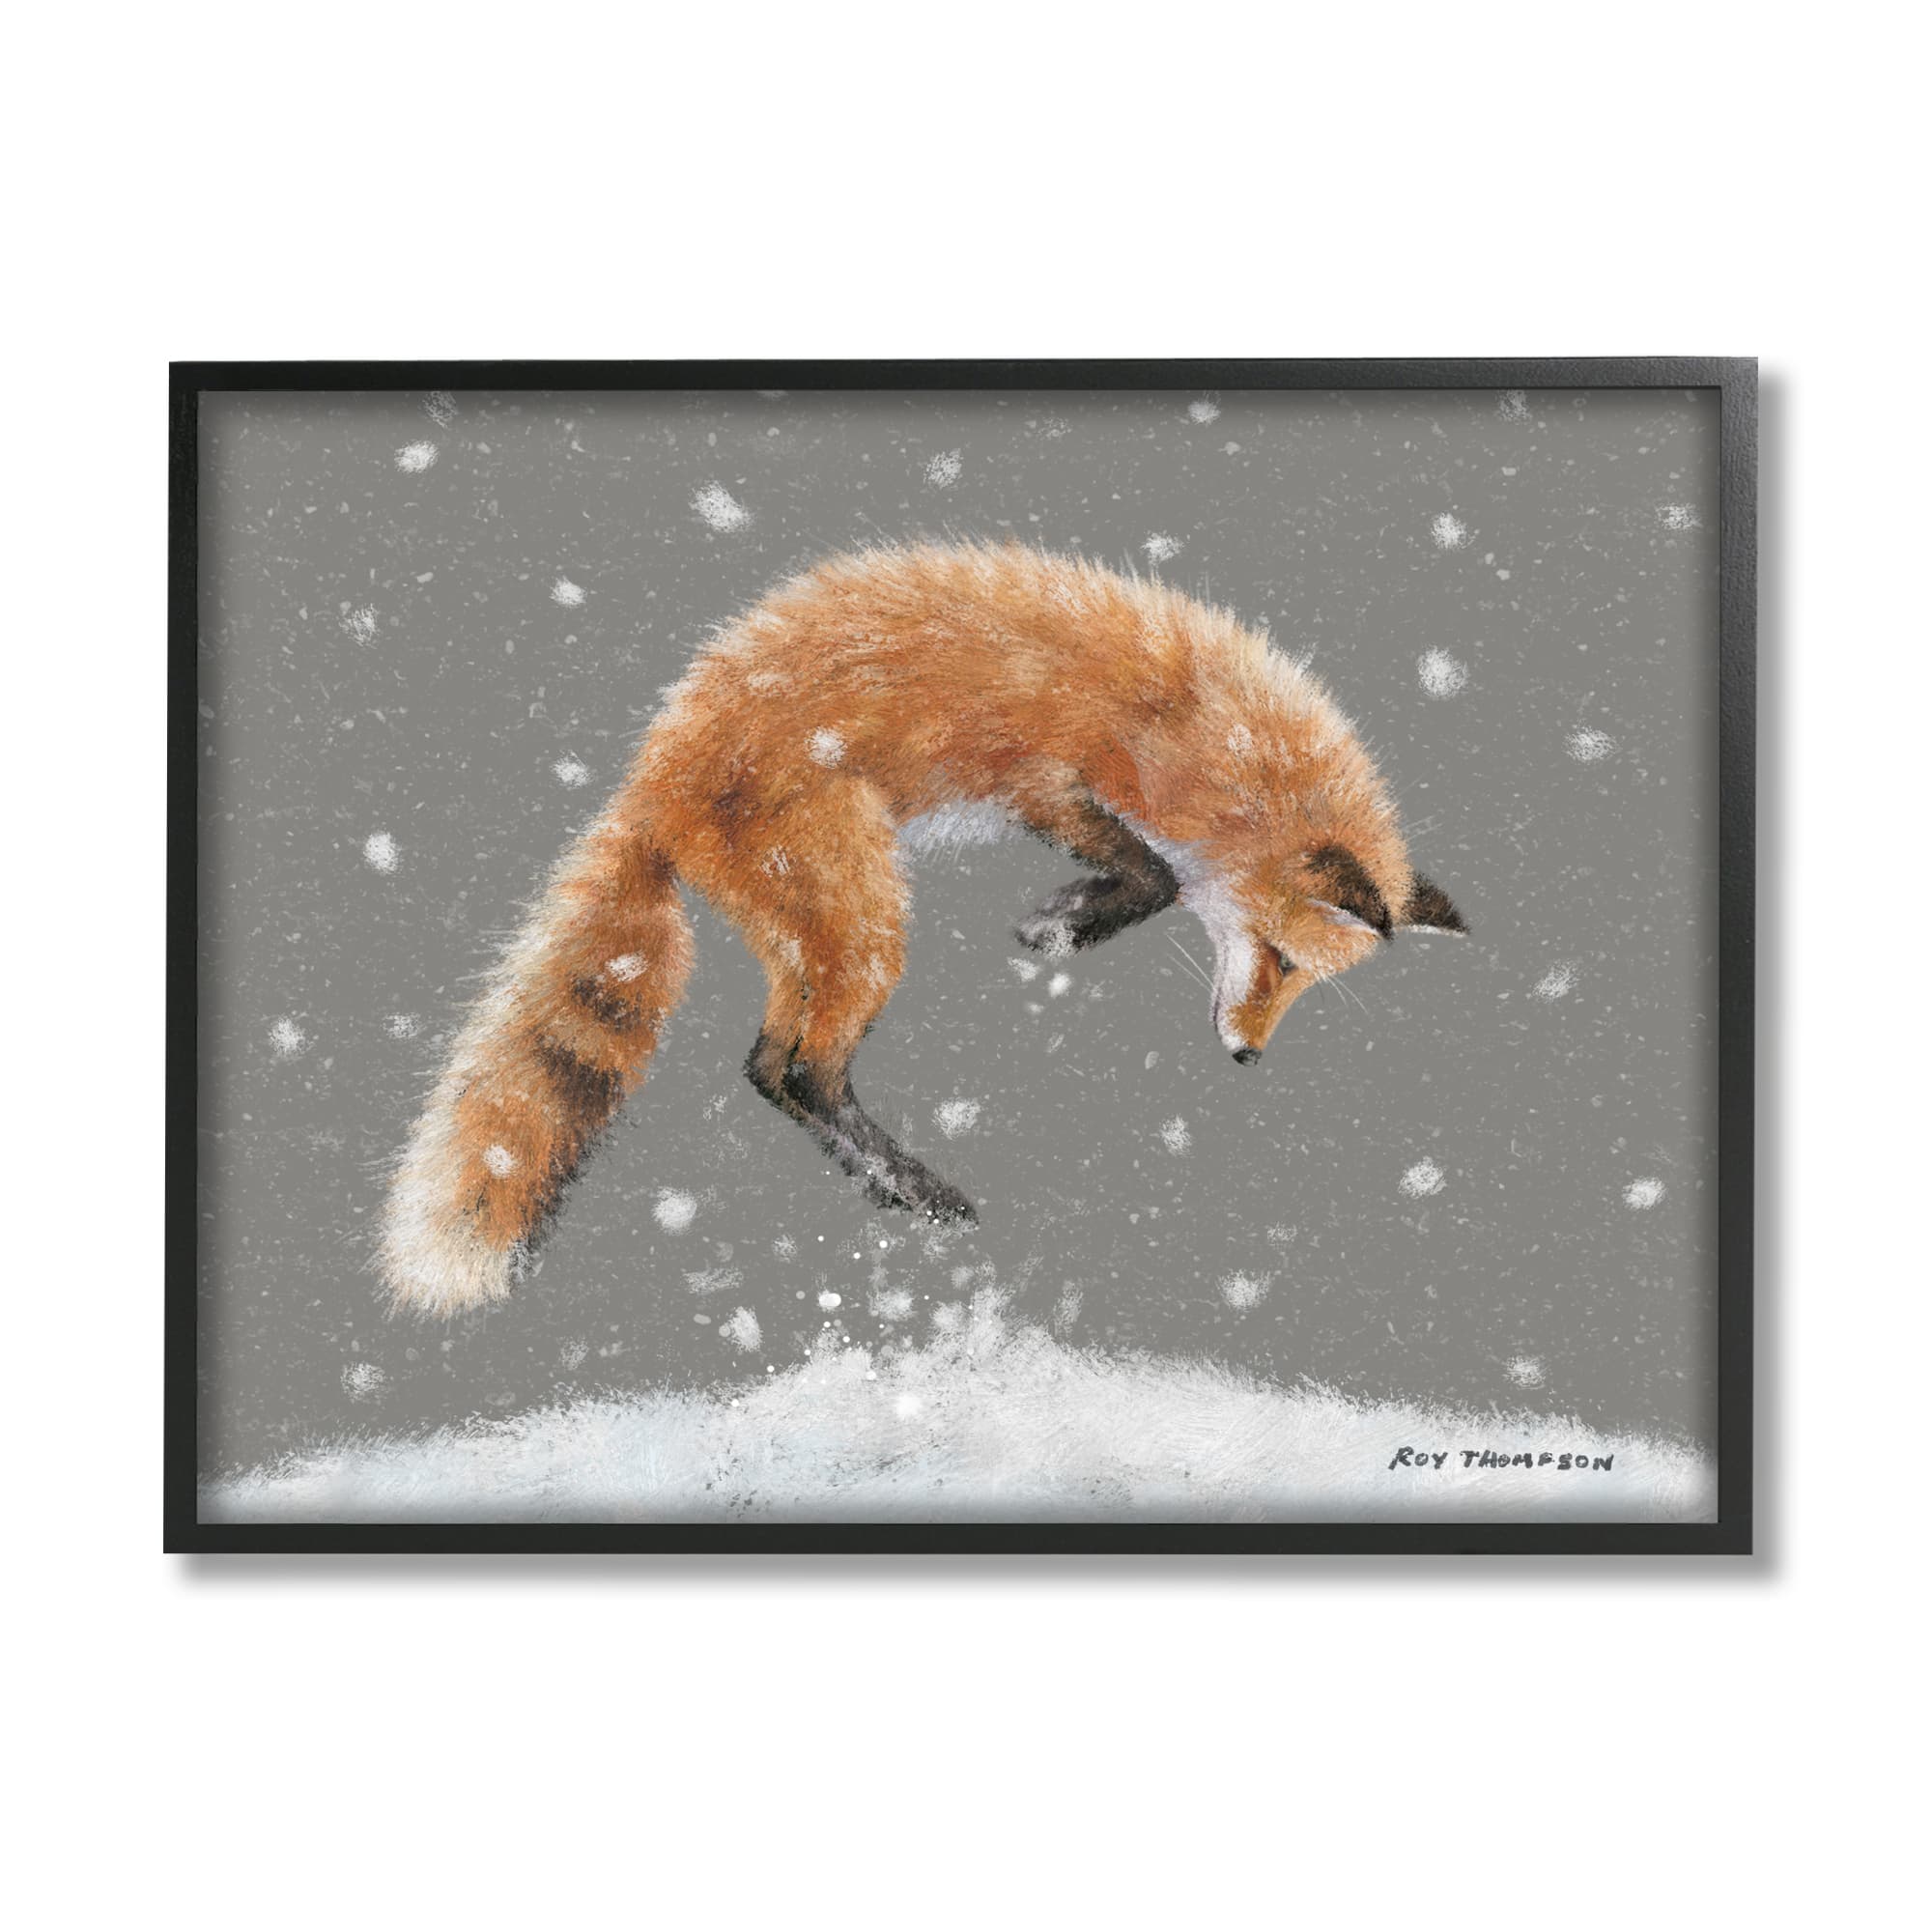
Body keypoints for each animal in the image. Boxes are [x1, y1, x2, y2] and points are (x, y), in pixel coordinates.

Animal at [379, 541, 1465, 1316]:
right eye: (1276, 957)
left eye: (1304, 982)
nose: (1245, 1056)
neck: (1208, 739)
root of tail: (657, 773)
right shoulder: (1053, 774)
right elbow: (1153, 871)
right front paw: (1064, 924)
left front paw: (1071, 920)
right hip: (865, 916)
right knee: (800, 1067)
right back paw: (912, 1185)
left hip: (816, 928)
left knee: (766, 1065)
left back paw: (883, 1180)